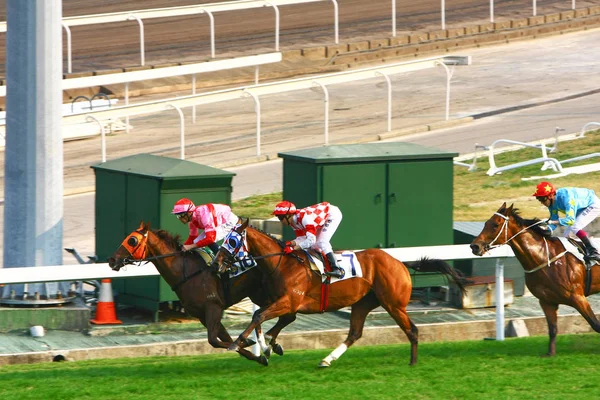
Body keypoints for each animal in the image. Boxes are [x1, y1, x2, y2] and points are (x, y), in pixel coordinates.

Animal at [108, 222, 298, 366]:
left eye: (132, 240)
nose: (112, 260)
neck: (186, 272)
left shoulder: (213, 307)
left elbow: (214, 340)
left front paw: (248, 345)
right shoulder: (201, 314)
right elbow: (223, 337)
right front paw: (255, 353)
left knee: (281, 314)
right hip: (259, 293)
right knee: (276, 314)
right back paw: (270, 344)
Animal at [211, 220, 468, 368]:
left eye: (232, 241)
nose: (216, 264)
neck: (282, 264)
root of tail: (400, 263)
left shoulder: (289, 301)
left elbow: (259, 316)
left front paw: (239, 343)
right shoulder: (286, 303)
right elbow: (270, 321)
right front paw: (268, 346)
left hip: (393, 304)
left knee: (412, 330)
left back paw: (413, 362)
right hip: (363, 303)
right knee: (355, 333)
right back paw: (326, 360)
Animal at [472, 203, 596, 356]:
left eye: (495, 225)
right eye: (486, 223)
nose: (474, 246)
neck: (545, 257)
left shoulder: (578, 297)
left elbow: (596, 324)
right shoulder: (547, 301)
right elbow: (552, 329)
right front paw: (550, 354)